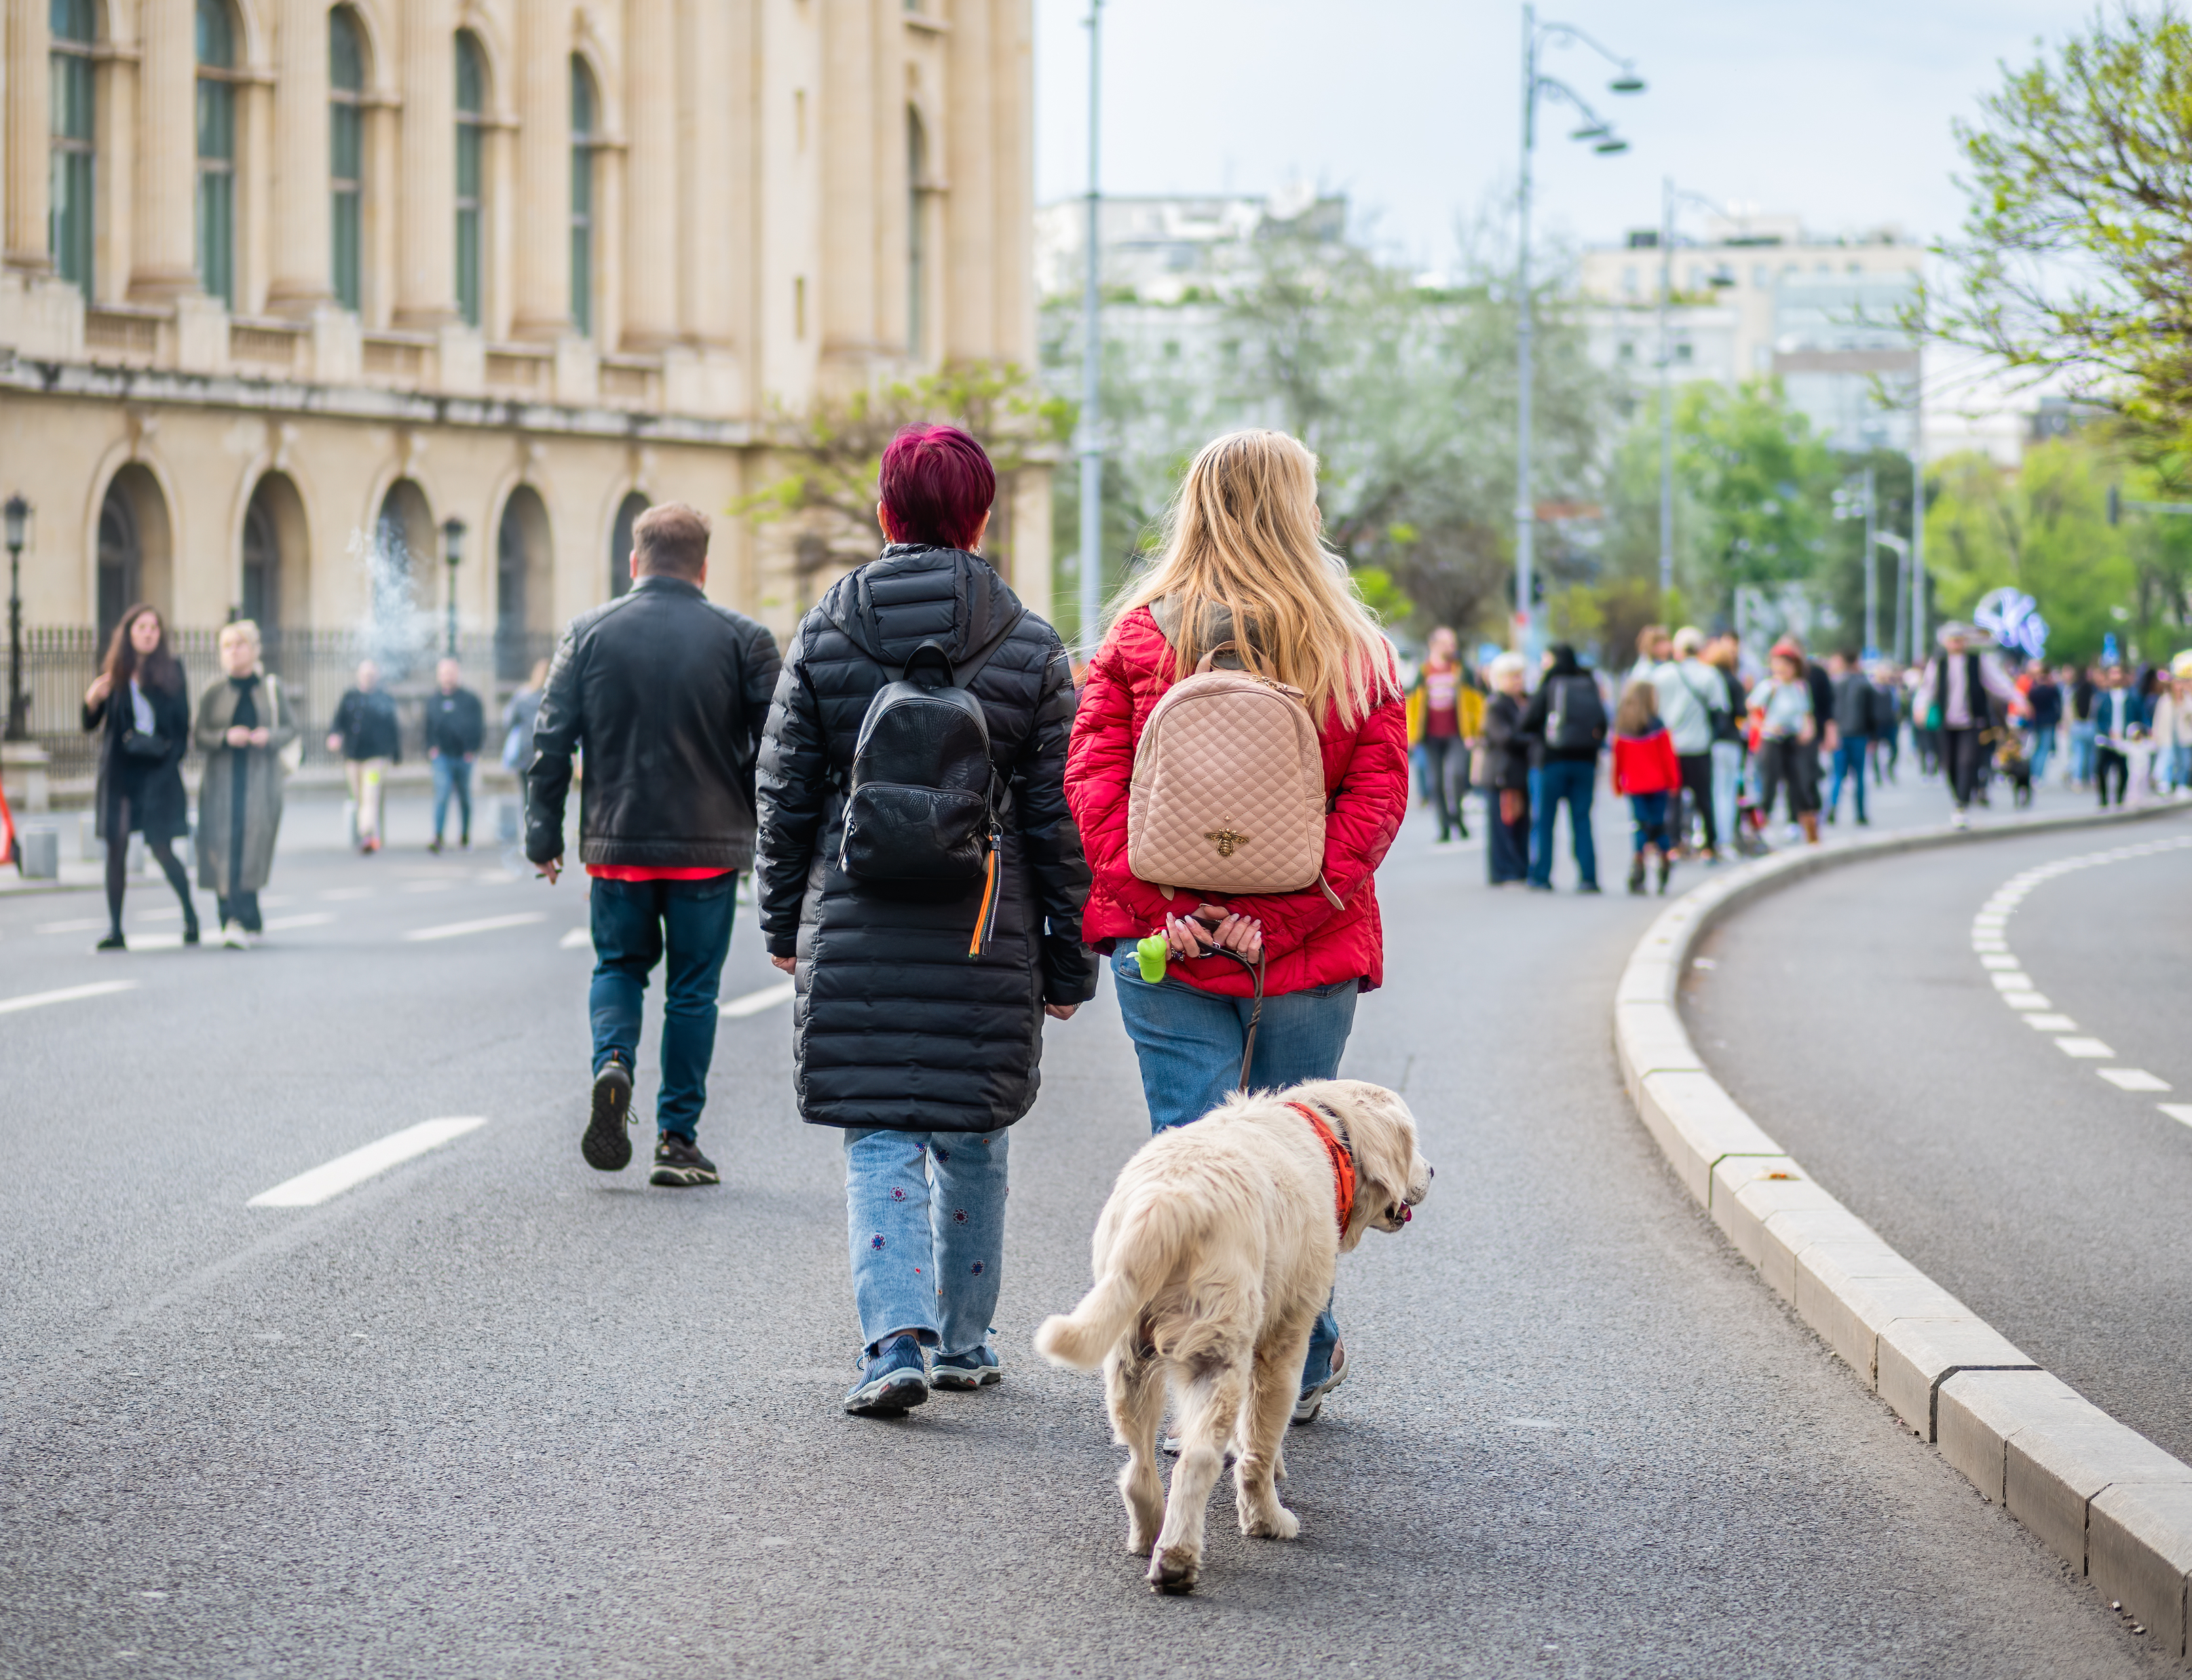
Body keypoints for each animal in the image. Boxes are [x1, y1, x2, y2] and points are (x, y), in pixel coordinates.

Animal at [1034, 1086, 1429, 1595]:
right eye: (1412, 1143)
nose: (1432, 1172)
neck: (1327, 1132)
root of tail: (1168, 1202)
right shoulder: (1285, 1342)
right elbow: (1259, 1444)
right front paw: (1266, 1515)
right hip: (1217, 1357)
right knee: (1197, 1461)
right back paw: (1180, 1558)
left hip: (1129, 1358)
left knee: (1139, 1466)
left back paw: (1149, 1535)